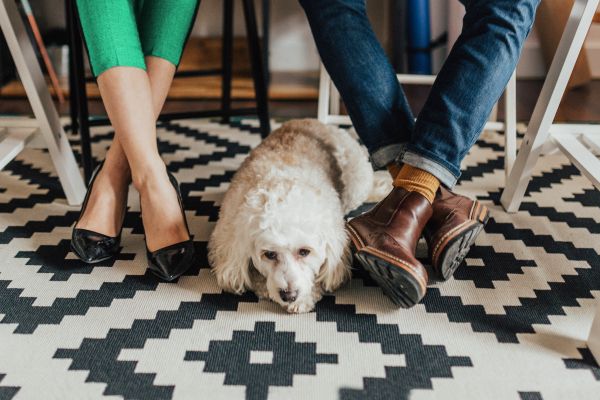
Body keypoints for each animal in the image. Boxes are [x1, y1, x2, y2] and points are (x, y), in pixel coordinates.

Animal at [210, 118, 390, 312]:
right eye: (269, 254)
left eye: (304, 252)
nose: (289, 296)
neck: (282, 185)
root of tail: (313, 121)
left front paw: (305, 298)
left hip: (356, 182)